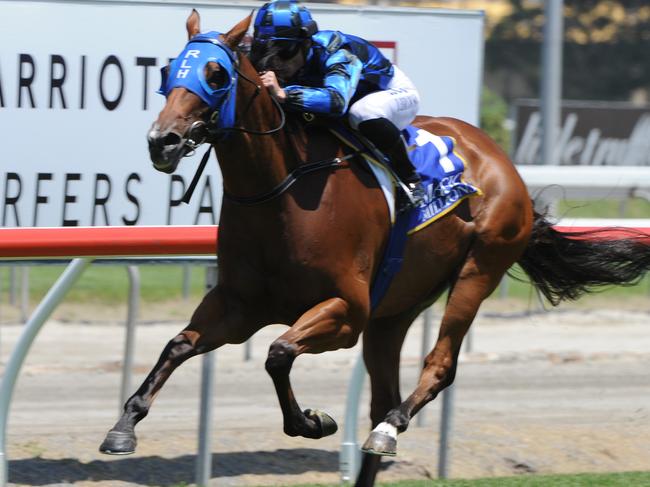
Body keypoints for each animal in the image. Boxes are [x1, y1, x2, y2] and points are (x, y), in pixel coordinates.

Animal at [98, 12, 648, 487]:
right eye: (168, 71)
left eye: (216, 74)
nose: (163, 141)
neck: (281, 191)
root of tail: (499, 158)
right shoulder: (239, 306)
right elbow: (179, 345)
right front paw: (123, 427)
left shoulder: (346, 311)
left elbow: (278, 353)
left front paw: (312, 421)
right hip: (394, 312)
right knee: (383, 395)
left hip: (477, 270)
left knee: (435, 369)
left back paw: (390, 428)